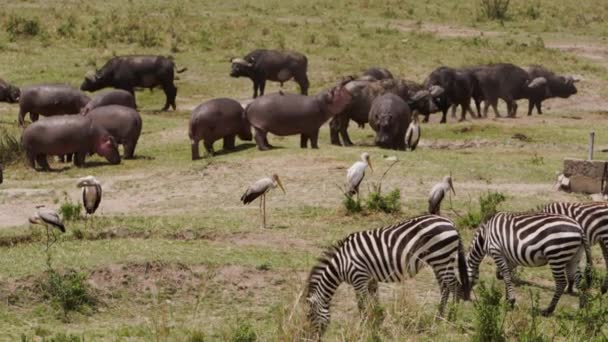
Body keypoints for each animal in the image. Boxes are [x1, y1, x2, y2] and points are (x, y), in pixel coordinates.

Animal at [304, 215, 470, 338]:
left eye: (310, 316)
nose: (310, 338)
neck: (341, 264)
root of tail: (450, 222)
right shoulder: (370, 279)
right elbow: (374, 302)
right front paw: (377, 323)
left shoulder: (359, 278)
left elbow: (362, 306)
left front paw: (363, 327)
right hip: (439, 262)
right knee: (445, 288)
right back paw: (438, 318)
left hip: (441, 258)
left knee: (455, 287)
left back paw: (451, 318)